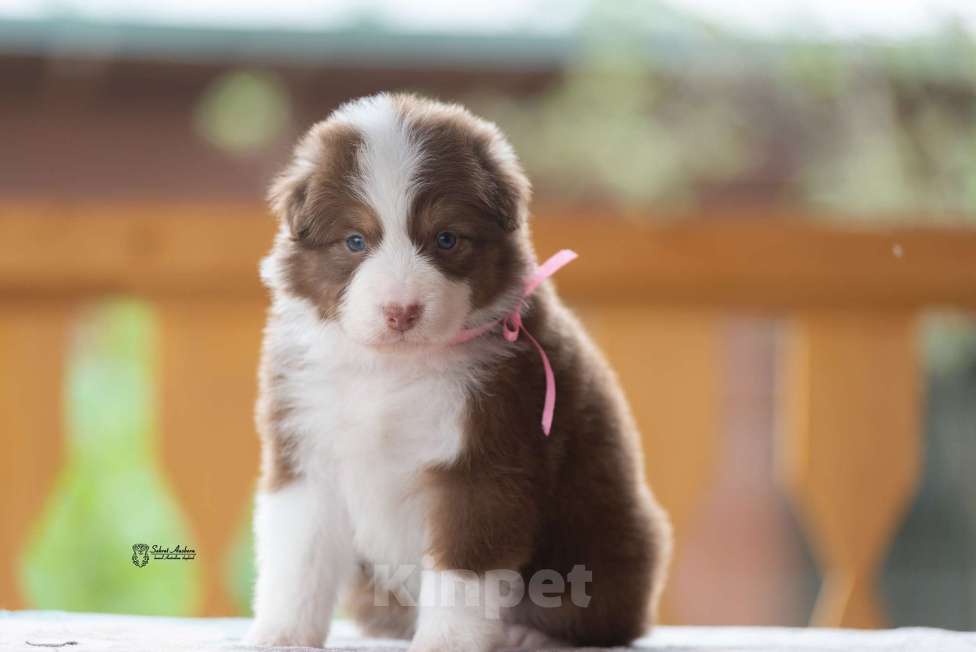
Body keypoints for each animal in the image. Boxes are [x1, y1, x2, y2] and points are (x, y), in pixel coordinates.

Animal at [244, 94, 672, 648]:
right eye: (355, 241)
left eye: (446, 239)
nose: (401, 311)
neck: (390, 371)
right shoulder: (306, 445)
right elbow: (299, 556)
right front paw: (281, 634)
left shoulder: (485, 460)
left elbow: (463, 570)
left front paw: (446, 641)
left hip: (609, 546)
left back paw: (530, 635)